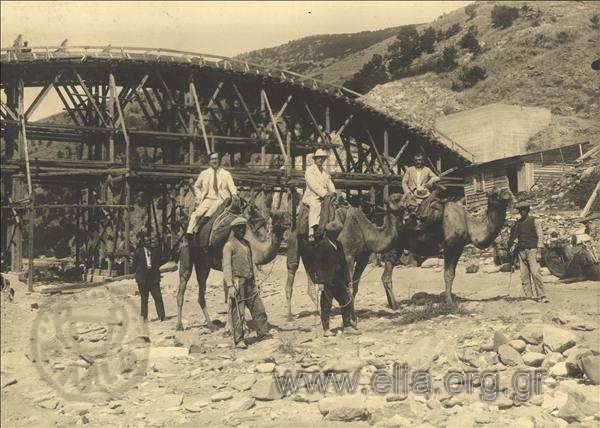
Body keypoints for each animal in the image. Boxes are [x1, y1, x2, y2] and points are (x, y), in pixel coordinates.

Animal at [176, 201, 286, 332]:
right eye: (276, 217)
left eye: (286, 215)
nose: (287, 223)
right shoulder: (227, 265)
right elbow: (230, 294)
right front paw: (230, 327)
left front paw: (242, 326)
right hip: (186, 253)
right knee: (182, 284)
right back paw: (179, 326)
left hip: (203, 265)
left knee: (201, 293)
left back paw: (211, 325)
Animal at [284, 192, 404, 320]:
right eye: (397, 198)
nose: (409, 201)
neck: (365, 231)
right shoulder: (348, 256)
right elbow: (348, 286)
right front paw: (351, 315)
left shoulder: (363, 258)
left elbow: (355, 286)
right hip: (294, 244)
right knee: (292, 270)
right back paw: (290, 316)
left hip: (310, 255)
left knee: (311, 281)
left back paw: (320, 313)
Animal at [382, 186, 512, 304]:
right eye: (495, 193)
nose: (508, 194)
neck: (469, 225)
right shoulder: (449, 246)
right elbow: (448, 275)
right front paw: (449, 302)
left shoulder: (459, 247)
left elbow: (452, 274)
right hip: (393, 249)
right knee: (387, 276)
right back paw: (394, 305)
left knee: (385, 276)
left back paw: (391, 304)